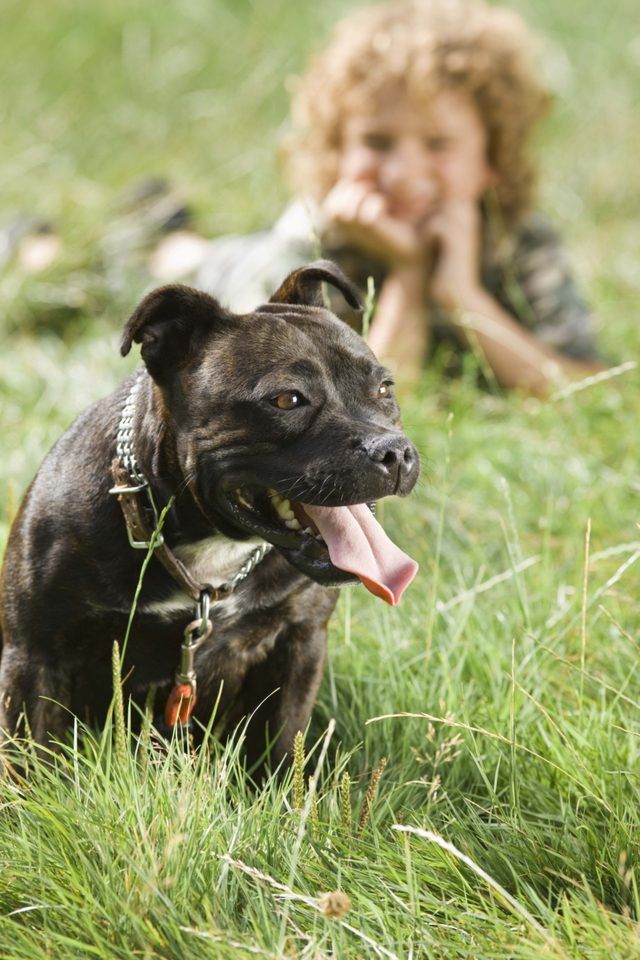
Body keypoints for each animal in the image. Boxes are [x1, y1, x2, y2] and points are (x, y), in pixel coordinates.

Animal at [0, 262, 420, 772]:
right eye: (287, 400)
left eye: (384, 388)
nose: (394, 451)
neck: (208, 547)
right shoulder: (35, 657)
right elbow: (28, 764)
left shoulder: (298, 644)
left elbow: (282, 746)